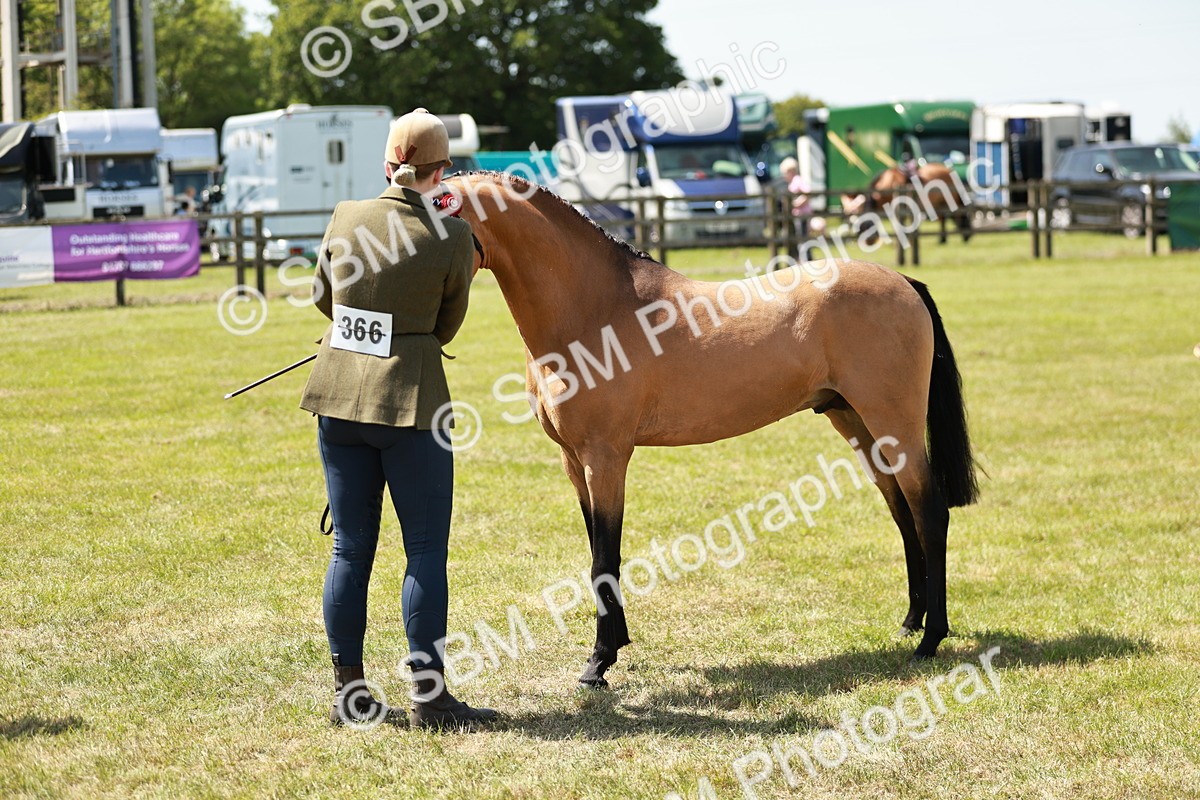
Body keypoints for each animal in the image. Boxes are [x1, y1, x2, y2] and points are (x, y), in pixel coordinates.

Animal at [445, 171, 979, 689]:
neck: (596, 310)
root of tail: (903, 281)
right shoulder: (573, 460)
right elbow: (598, 552)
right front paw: (617, 644)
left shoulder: (606, 457)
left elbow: (605, 557)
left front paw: (598, 663)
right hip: (859, 424)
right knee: (901, 511)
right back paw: (911, 620)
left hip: (895, 424)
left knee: (929, 512)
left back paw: (930, 639)